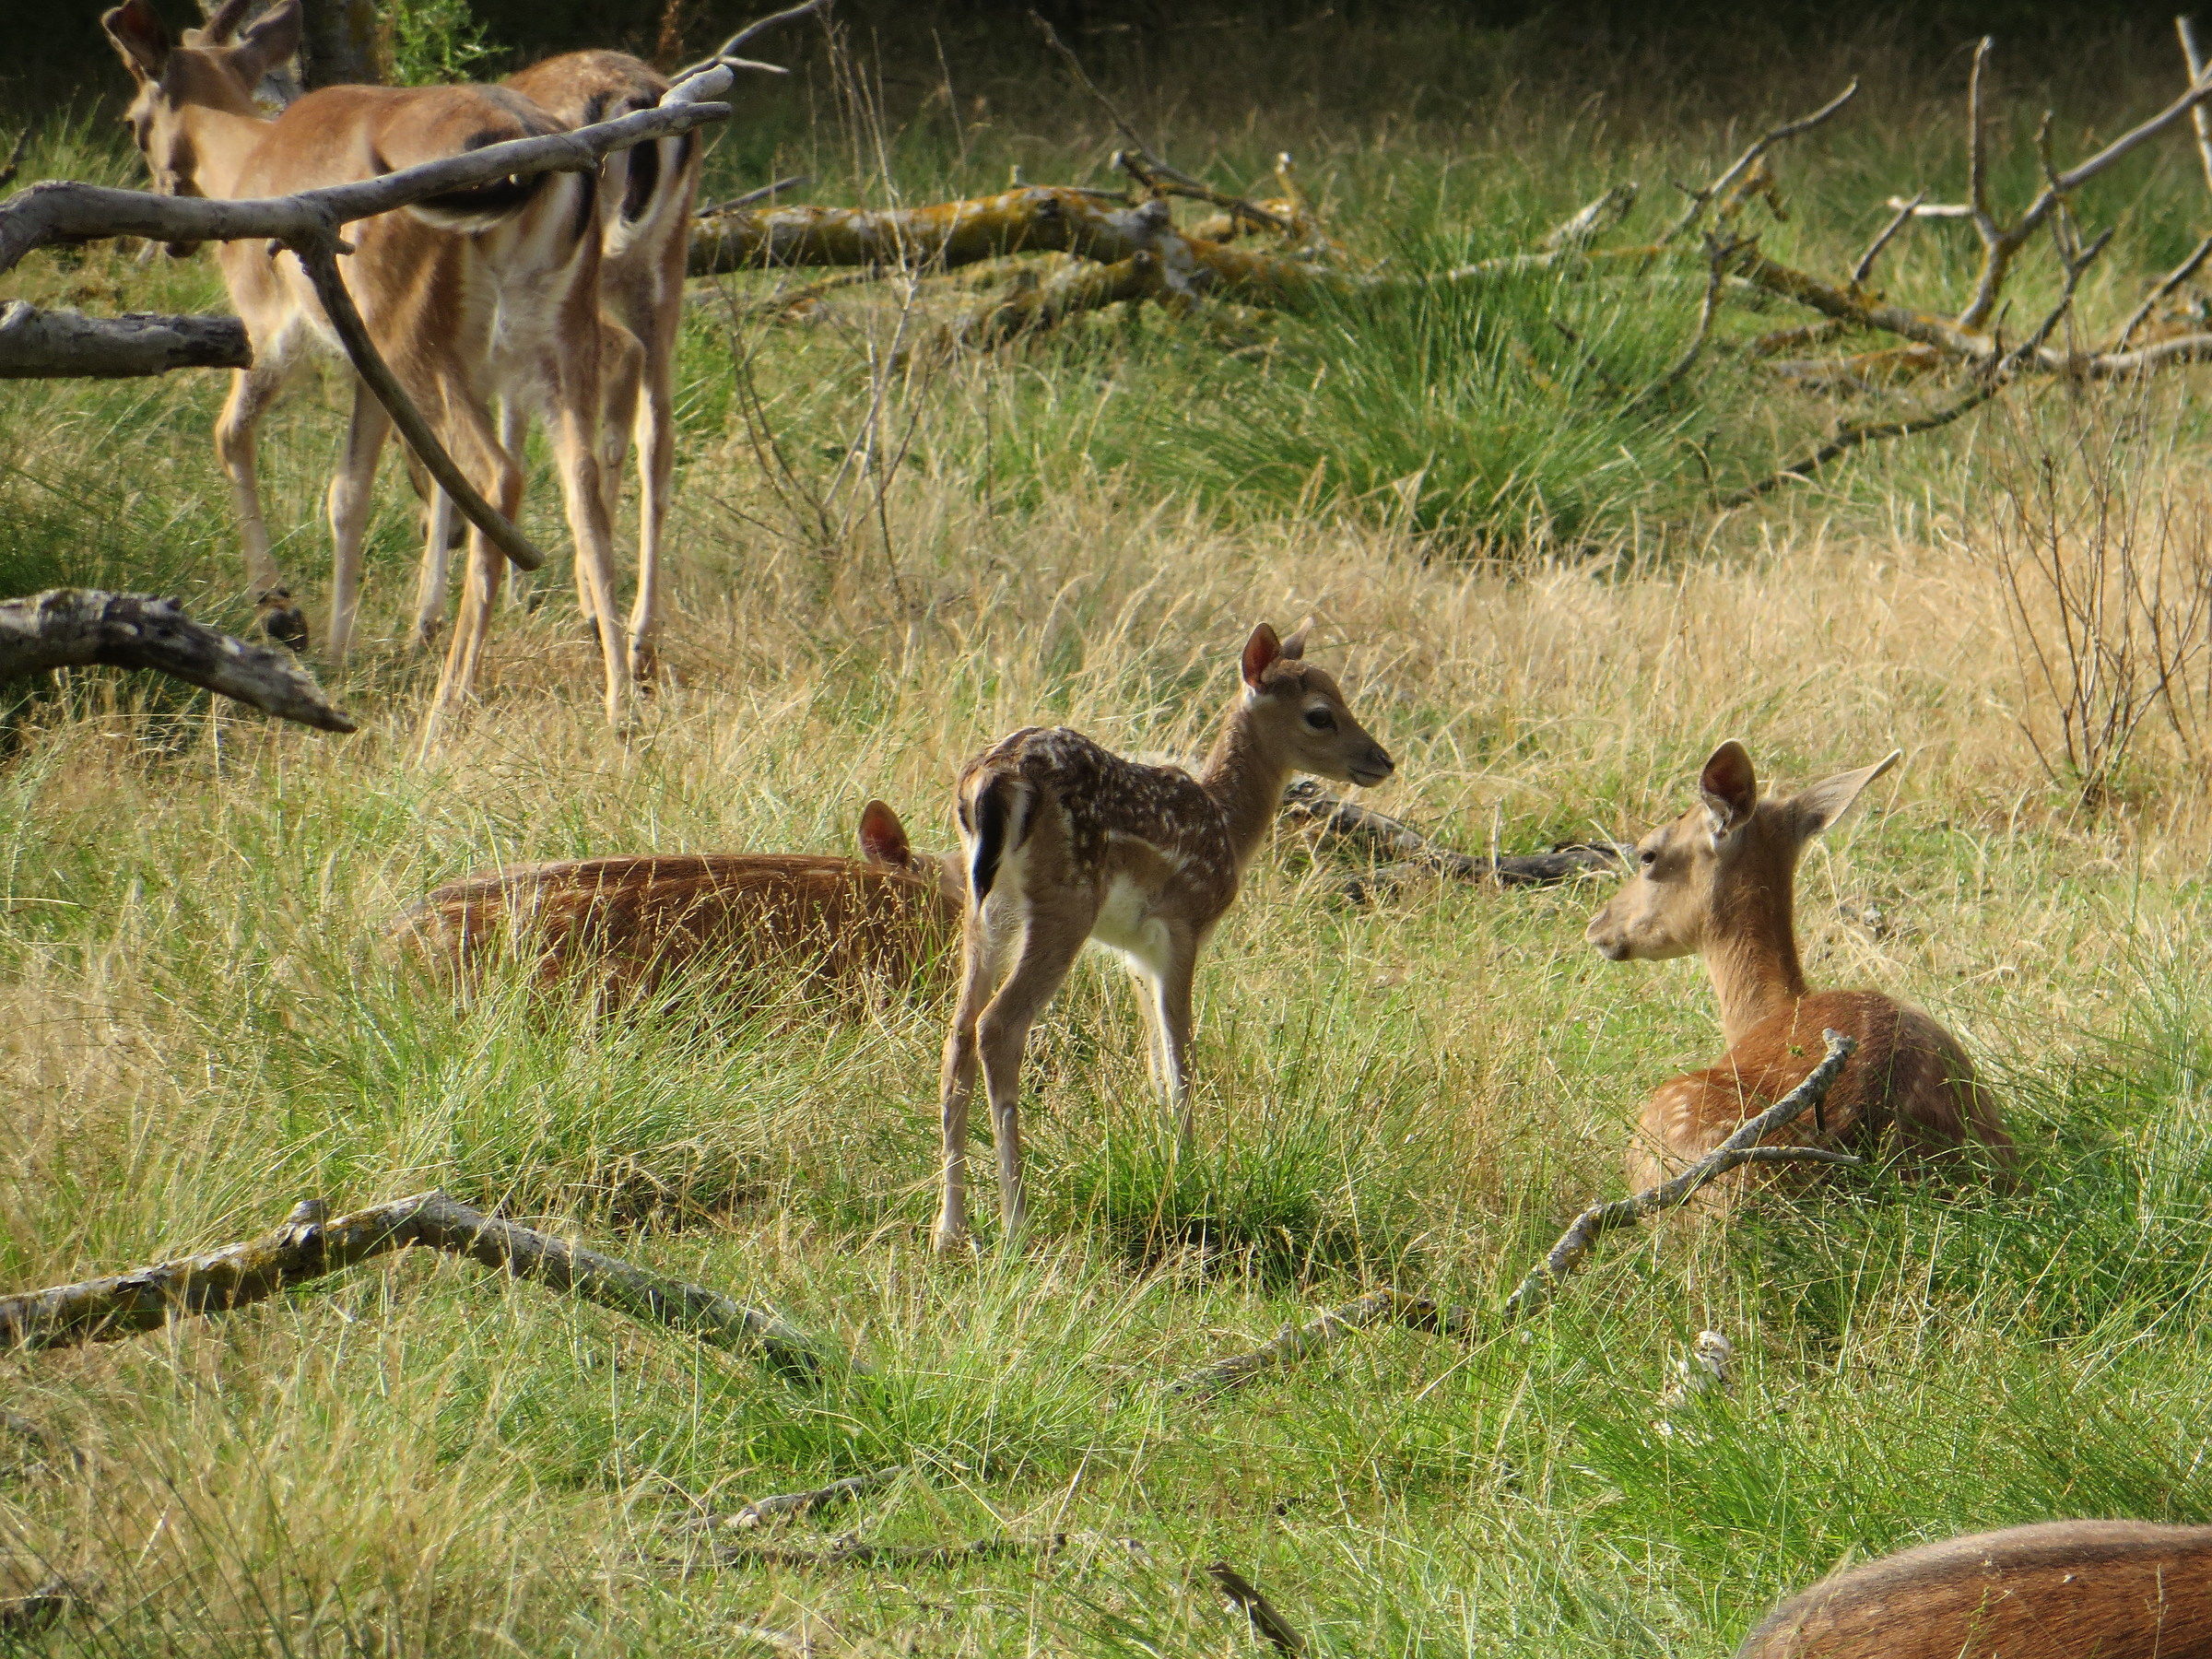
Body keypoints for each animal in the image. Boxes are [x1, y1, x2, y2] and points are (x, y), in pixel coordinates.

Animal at [100, 0, 636, 727]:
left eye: (133, 121)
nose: (173, 232)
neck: (247, 162)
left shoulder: (274, 324)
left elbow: (231, 434)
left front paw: (283, 615)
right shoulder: (362, 363)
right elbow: (347, 491)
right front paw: (336, 648)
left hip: (419, 333)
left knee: (496, 472)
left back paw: (449, 701)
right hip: (556, 327)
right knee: (580, 475)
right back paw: (622, 704)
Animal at [933, 622, 1395, 1254]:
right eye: (1320, 714)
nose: (1382, 760)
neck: (1227, 827)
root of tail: (990, 781)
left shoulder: (1134, 953)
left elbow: (1155, 1064)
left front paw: (1168, 1160)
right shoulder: (1183, 925)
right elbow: (1182, 1062)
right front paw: (1190, 1175)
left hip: (985, 910)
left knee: (957, 1035)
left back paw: (949, 1230)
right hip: (1064, 903)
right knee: (999, 1026)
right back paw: (1015, 1225)